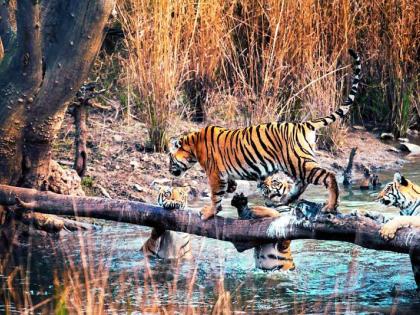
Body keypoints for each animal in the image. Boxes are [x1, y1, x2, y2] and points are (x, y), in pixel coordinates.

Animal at [167, 50, 360, 221]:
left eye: (169, 158)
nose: (169, 170)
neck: (193, 145)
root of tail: (303, 124)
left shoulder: (214, 174)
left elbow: (216, 197)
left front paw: (208, 213)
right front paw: (232, 188)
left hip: (298, 161)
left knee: (328, 175)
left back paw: (330, 205)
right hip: (294, 164)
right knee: (301, 183)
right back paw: (287, 199)